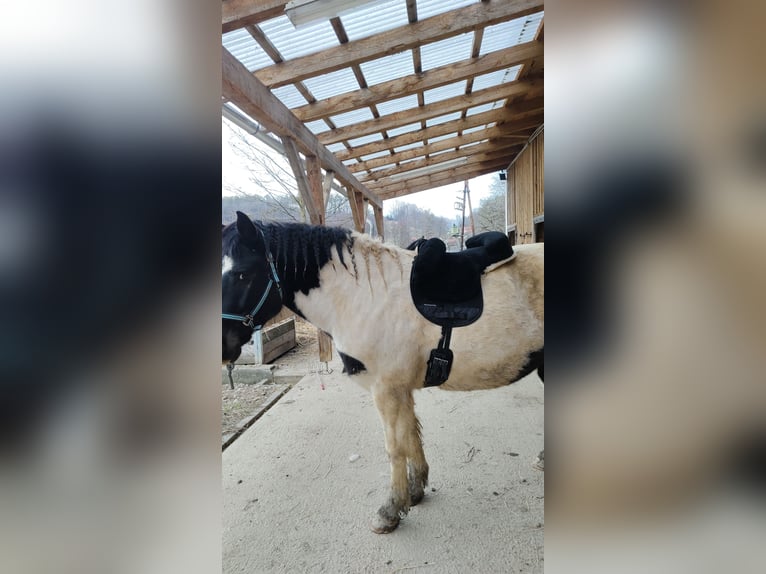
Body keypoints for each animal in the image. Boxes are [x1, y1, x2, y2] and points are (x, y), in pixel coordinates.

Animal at [222, 211, 544, 533]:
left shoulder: (385, 389)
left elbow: (395, 447)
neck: (361, 298)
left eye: (242, 273)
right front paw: (415, 490)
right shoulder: (400, 389)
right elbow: (411, 434)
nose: (224, 347)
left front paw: (390, 510)